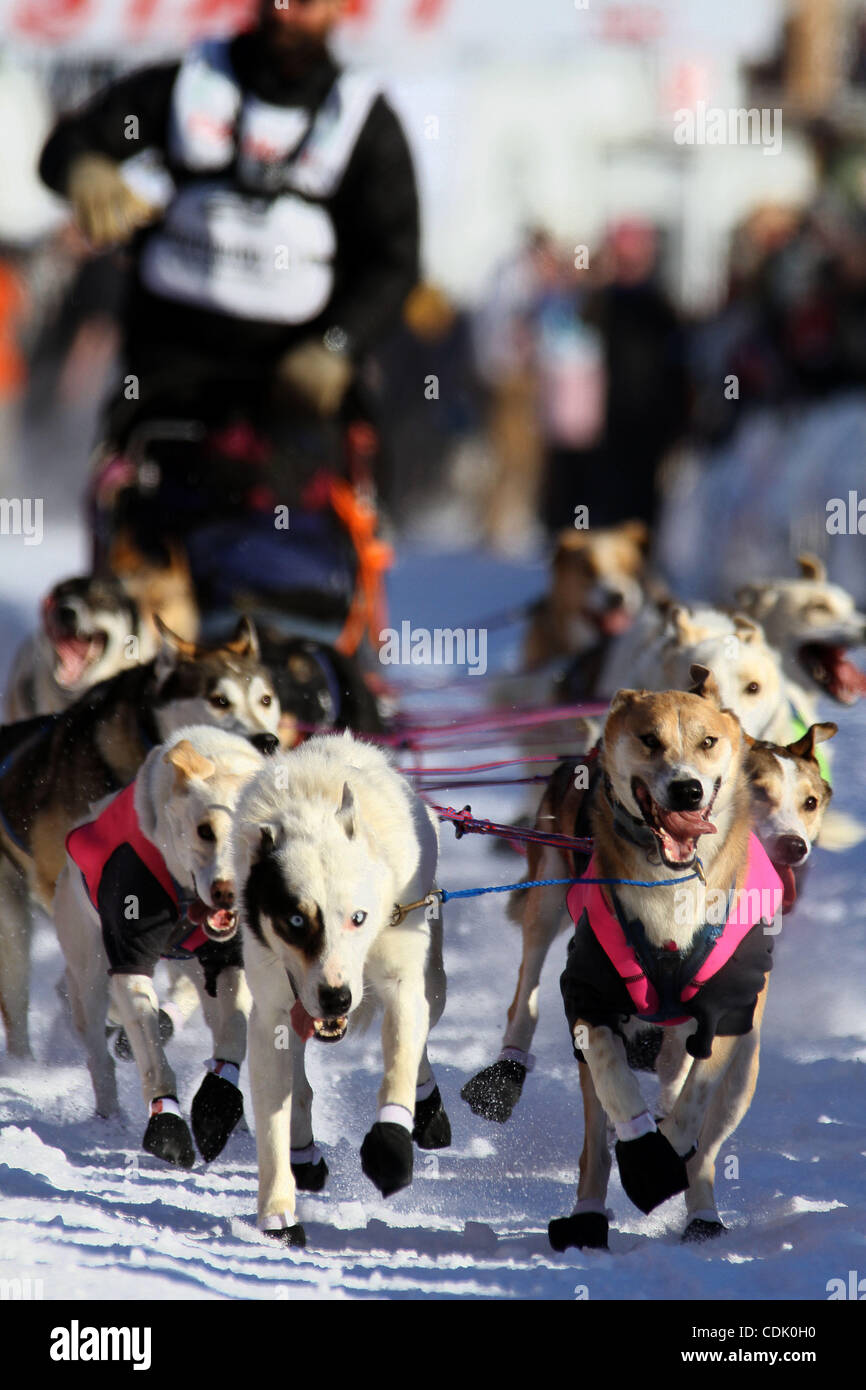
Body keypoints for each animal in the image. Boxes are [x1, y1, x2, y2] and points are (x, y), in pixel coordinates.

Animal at [53, 722, 268, 1167]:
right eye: (205, 830)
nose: (225, 892)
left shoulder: (228, 961)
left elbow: (233, 1033)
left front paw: (218, 1105)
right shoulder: (129, 960)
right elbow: (152, 1054)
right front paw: (167, 1125)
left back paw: (239, 1125)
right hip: (89, 975)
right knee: (98, 1055)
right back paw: (109, 1115)